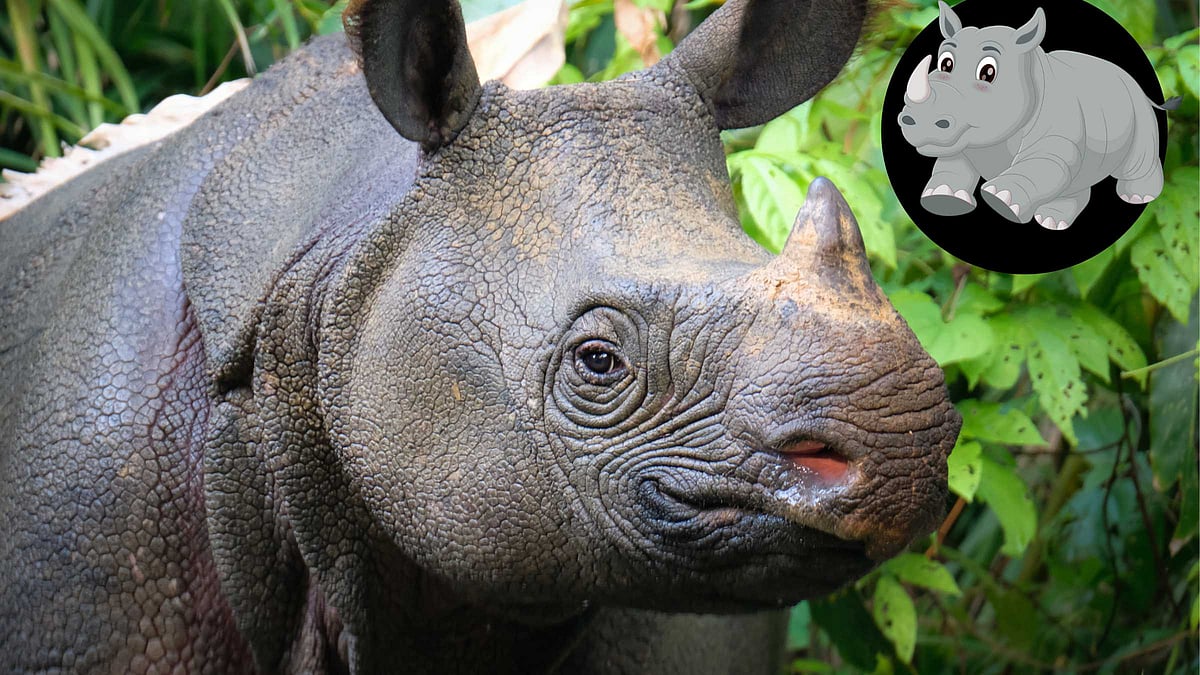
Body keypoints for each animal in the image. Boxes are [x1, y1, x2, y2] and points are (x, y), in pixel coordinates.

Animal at [898, 1, 1177, 230]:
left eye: (988, 72)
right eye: (945, 64)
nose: (918, 121)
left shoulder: (1056, 131)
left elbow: (1043, 164)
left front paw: (1001, 200)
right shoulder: (964, 139)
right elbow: (952, 166)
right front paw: (942, 198)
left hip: (1136, 108)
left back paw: (1138, 198)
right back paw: (1053, 222)